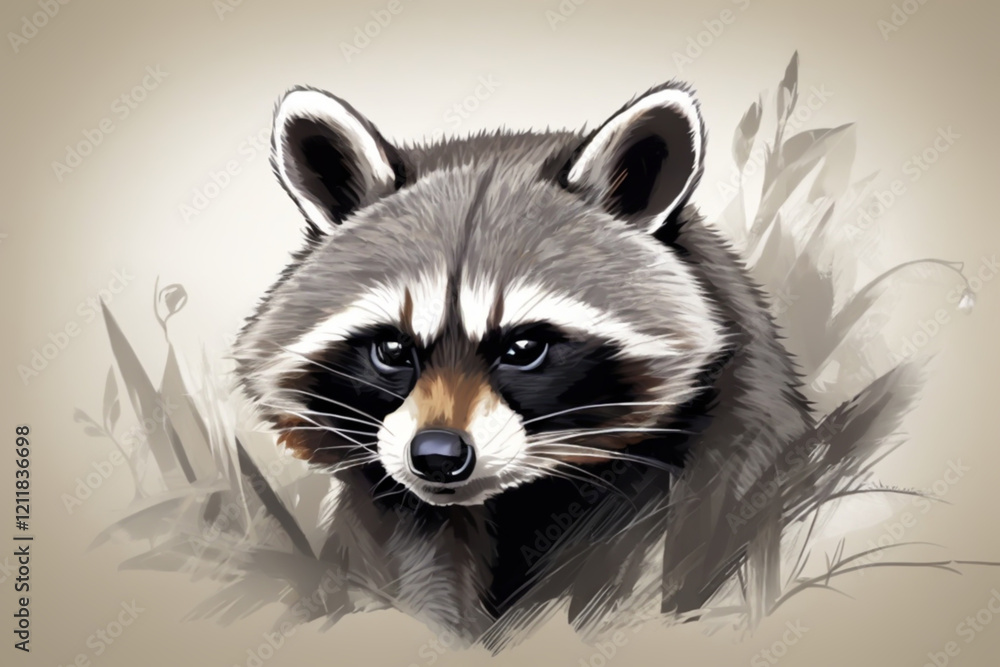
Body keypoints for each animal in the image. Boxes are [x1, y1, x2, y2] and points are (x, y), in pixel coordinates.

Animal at [233, 82, 813, 641]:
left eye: (523, 349)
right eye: (393, 350)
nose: (437, 455)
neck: (511, 502)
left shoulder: (718, 462)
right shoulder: (394, 522)